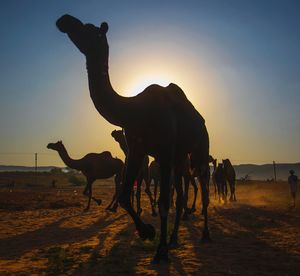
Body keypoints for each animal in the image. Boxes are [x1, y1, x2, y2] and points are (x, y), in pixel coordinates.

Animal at [56, 14, 211, 264]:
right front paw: (147, 231)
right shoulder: (138, 149)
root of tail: (201, 120)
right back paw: (174, 239)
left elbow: (163, 202)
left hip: (200, 148)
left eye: (89, 29)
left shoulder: (164, 152)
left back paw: (205, 234)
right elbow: (125, 195)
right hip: (179, 158)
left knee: (203, 187)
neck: (134, 110)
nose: (65, 20)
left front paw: (160, 250)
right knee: (180, 196)